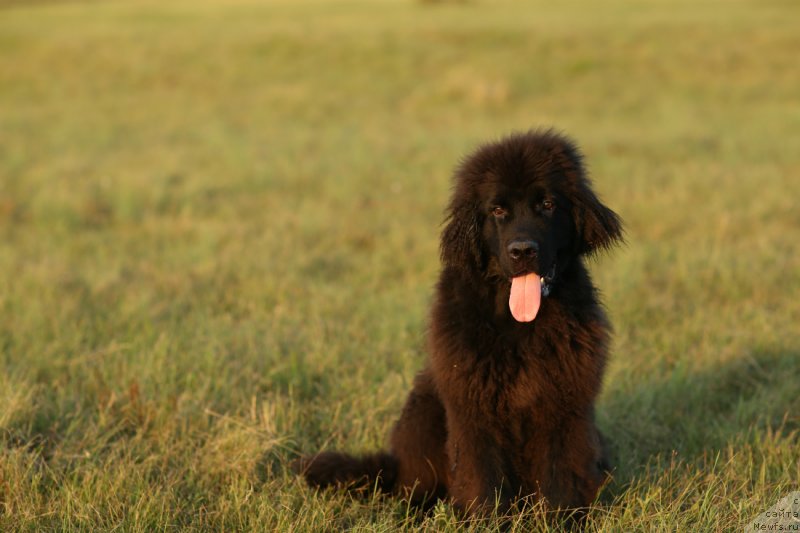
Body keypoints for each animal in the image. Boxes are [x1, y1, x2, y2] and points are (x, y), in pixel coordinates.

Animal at [294, 131, 624, 516]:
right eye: (497, 210)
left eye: (547, 204)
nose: (522, 251)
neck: (518, 325)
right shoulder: (473, 407)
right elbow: (482, 476)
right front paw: (486, 519)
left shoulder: (565, 404)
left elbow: (560, 476)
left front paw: (560, 520)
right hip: (423, 415)